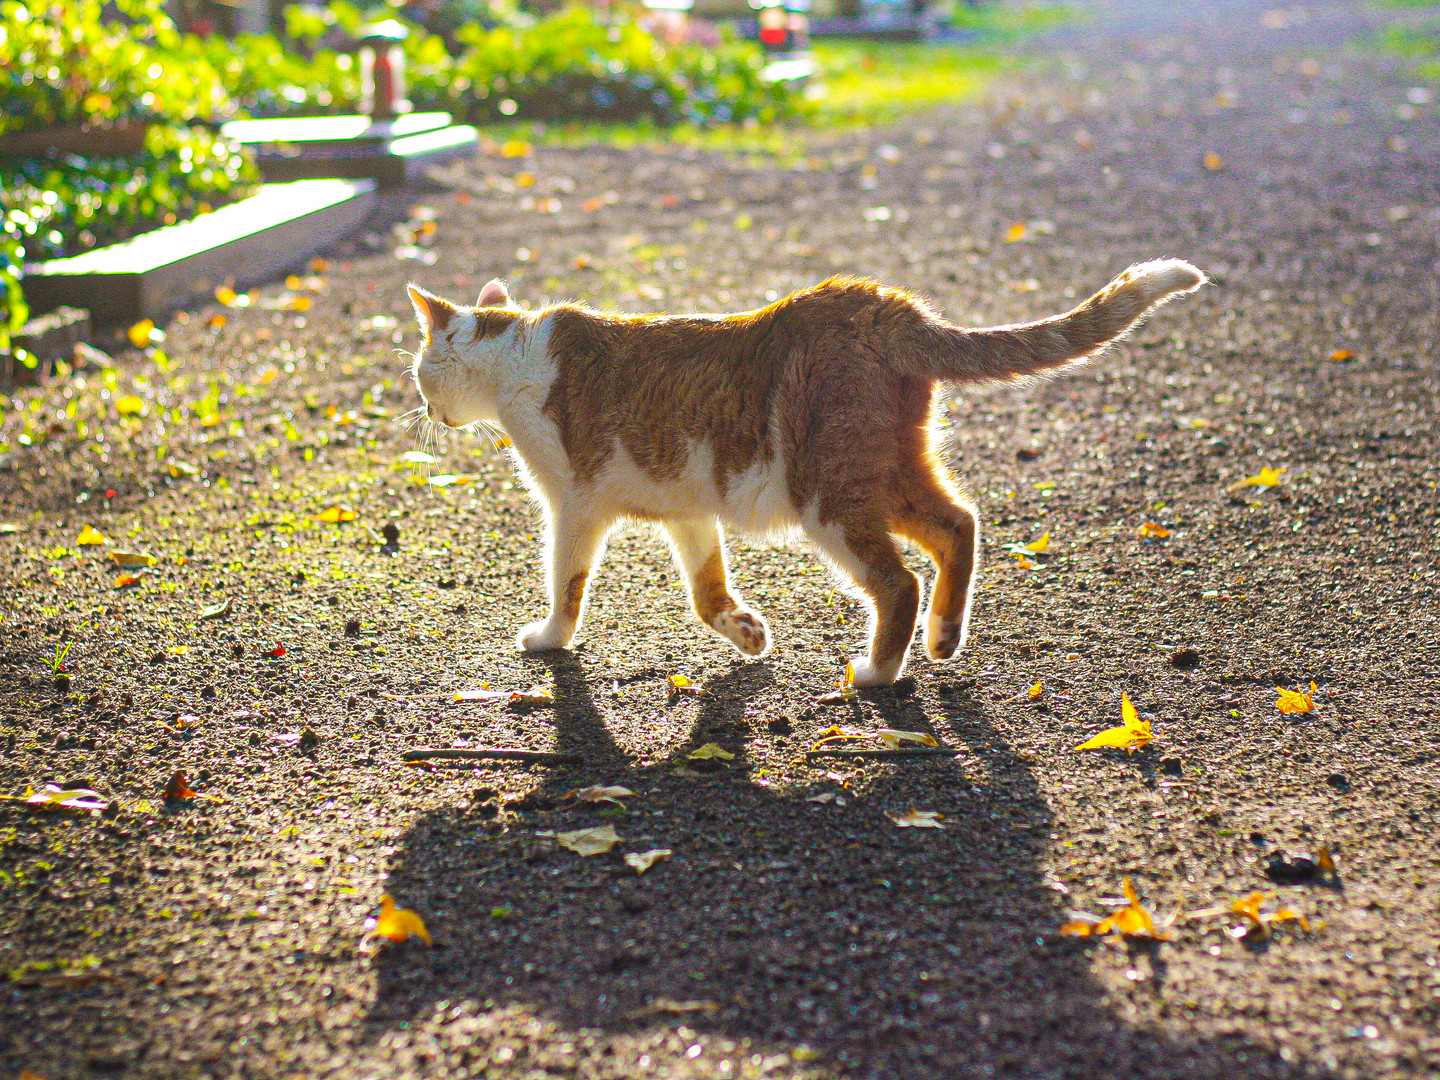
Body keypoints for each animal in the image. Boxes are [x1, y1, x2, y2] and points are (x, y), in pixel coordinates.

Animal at [406, 260, 1203, 685]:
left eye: (418, 371)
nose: (424, 410)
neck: (513, 358)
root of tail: (882, 304)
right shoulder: (687, 510)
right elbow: (706, 592)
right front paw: (747, 633)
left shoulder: (574, 509)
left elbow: (566, 586)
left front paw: (548, 639)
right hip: (882, 474)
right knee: (959, 525)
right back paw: (945, 637)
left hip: (829, 496)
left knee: (899, 583)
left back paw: (880, 672)